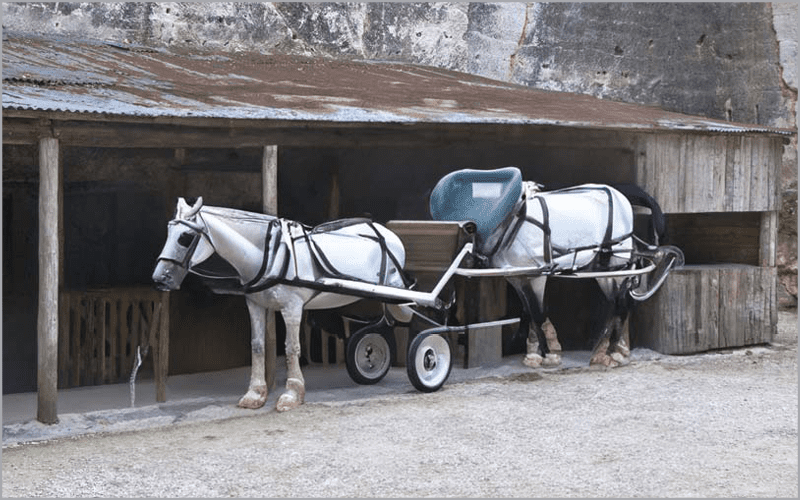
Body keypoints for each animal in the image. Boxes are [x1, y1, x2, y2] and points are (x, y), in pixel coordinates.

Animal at [152, 197, 406, 412]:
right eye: (168, 232)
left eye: (185, 237)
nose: (160, 279)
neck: (270, 254)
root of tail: (389, 233)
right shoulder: (254, 305)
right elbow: (257, 345)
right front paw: (255, 394)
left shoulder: (292, 307)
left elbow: (291, 348)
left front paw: (292, 394)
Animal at [429, 167, 682, 369]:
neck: (512, 220)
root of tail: (620, 195)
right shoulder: (518, 277)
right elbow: (528, 312)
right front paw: (536, 351)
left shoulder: (536, 275)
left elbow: (538, 313)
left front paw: (548, 355)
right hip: (604, 270)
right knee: (615, 303)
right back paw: (605, 349)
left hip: (618, 267)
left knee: (622, 304)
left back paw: (612, 352)